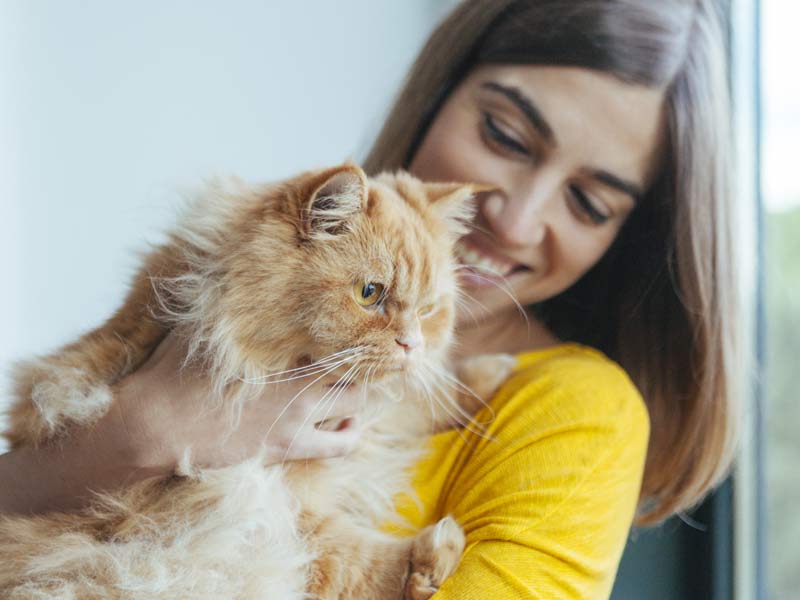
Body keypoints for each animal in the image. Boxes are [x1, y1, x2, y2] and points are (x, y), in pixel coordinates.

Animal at [1, 164, 512, 600]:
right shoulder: (251, 502)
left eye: (428, 309)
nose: (412, 344)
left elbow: (423, 402)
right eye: (369, 294)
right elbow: (359, 562)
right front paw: (434, 559)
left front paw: (494, 374)